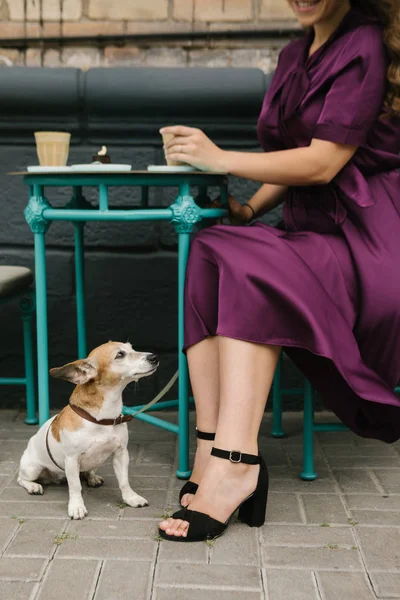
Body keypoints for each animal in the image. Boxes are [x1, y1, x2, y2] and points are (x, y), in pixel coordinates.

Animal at [17, 342, 159, 520]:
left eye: (132, 348)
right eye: (120, 355)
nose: (154, 357)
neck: (102, 418)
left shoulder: (121, 454)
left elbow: (124, 481)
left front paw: (131, 498)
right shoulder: (72, 459)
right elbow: (75, 487)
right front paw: (76, 507)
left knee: (87, 472)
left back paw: (92, 477)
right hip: (32, 469)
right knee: (21, 479)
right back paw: (33, 487)